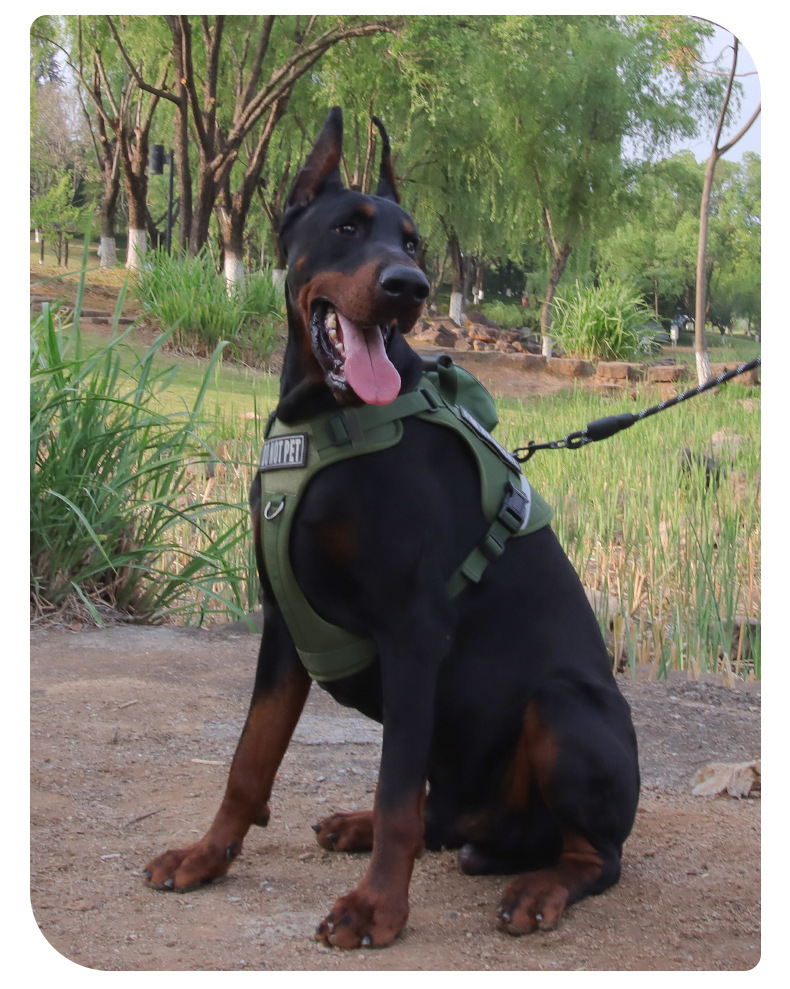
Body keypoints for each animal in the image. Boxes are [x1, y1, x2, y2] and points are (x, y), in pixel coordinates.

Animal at [144, 107, 640, 949]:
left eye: (413, 243)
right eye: (346, 227)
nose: (411, 288)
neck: (328, 419)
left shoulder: (413, 629)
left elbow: (394, 786)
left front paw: (377, 908)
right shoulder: (283, 626)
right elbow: (250, 760)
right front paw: (206, 856)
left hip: (562, 706)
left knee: (593, 855)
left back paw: (539, 886)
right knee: (438, 815)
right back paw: (358, 825)